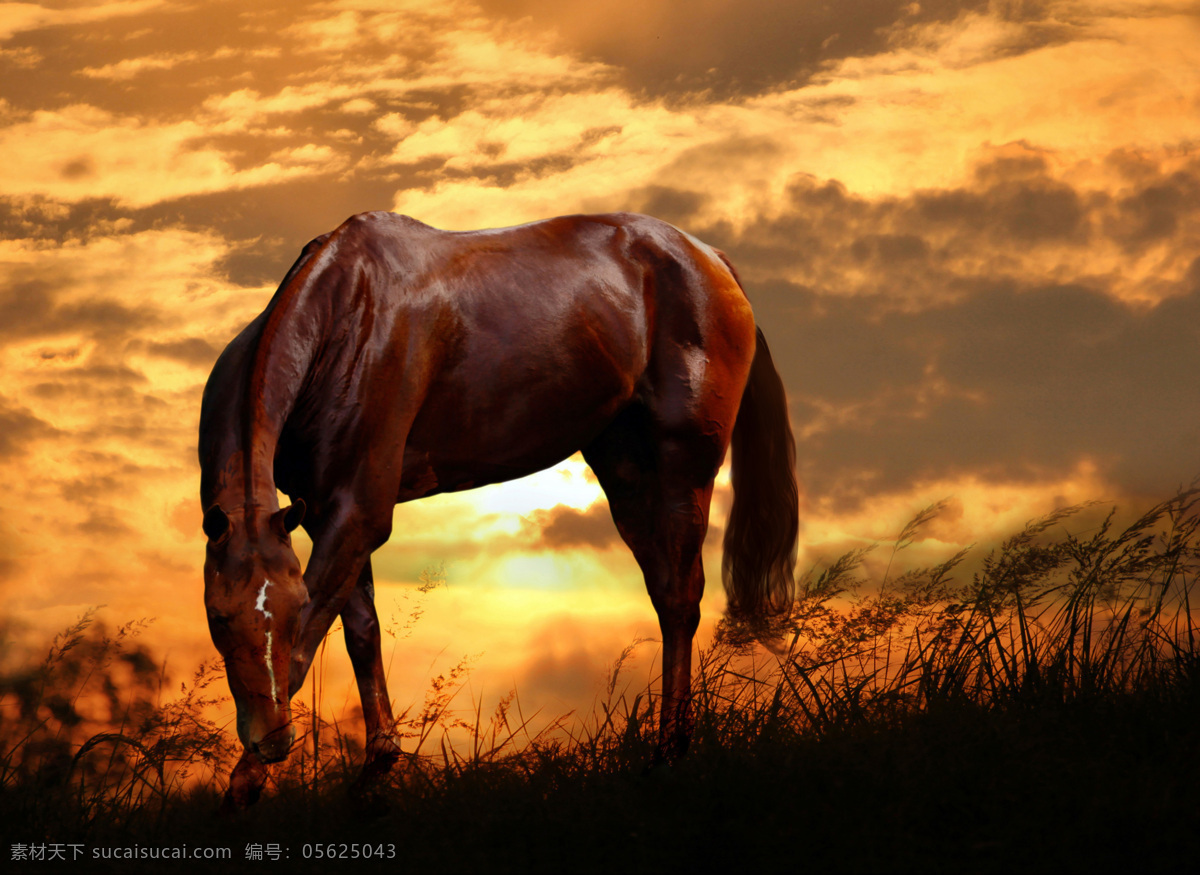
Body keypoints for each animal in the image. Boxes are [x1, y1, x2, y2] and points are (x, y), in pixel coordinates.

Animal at [196, 210, 796, 806]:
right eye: (218, 618)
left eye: (290, 609)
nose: (272, 742)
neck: (346, 318)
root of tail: (713, 261)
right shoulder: (326, 512)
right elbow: (360, 633)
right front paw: (374, 771)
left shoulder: (358, 510)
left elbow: (308, 644)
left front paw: (244, 787)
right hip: (626, 470)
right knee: (666, 589)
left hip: (681, 470)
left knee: (680, 598)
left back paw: (668, 756)